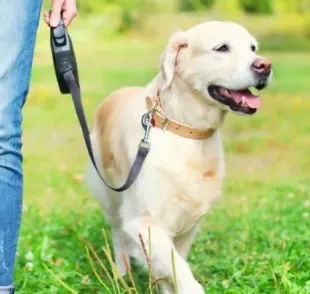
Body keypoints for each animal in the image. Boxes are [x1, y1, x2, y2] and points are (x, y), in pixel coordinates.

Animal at [85, 21, 272, 294]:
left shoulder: (188, 224)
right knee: (118, 233)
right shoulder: (144, 221)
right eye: (222, 48)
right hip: (111, 195)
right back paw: (122, 275)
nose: (265, 65)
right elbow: (181, 273)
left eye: (253, 48)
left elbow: (172, 271)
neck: (185, 128)